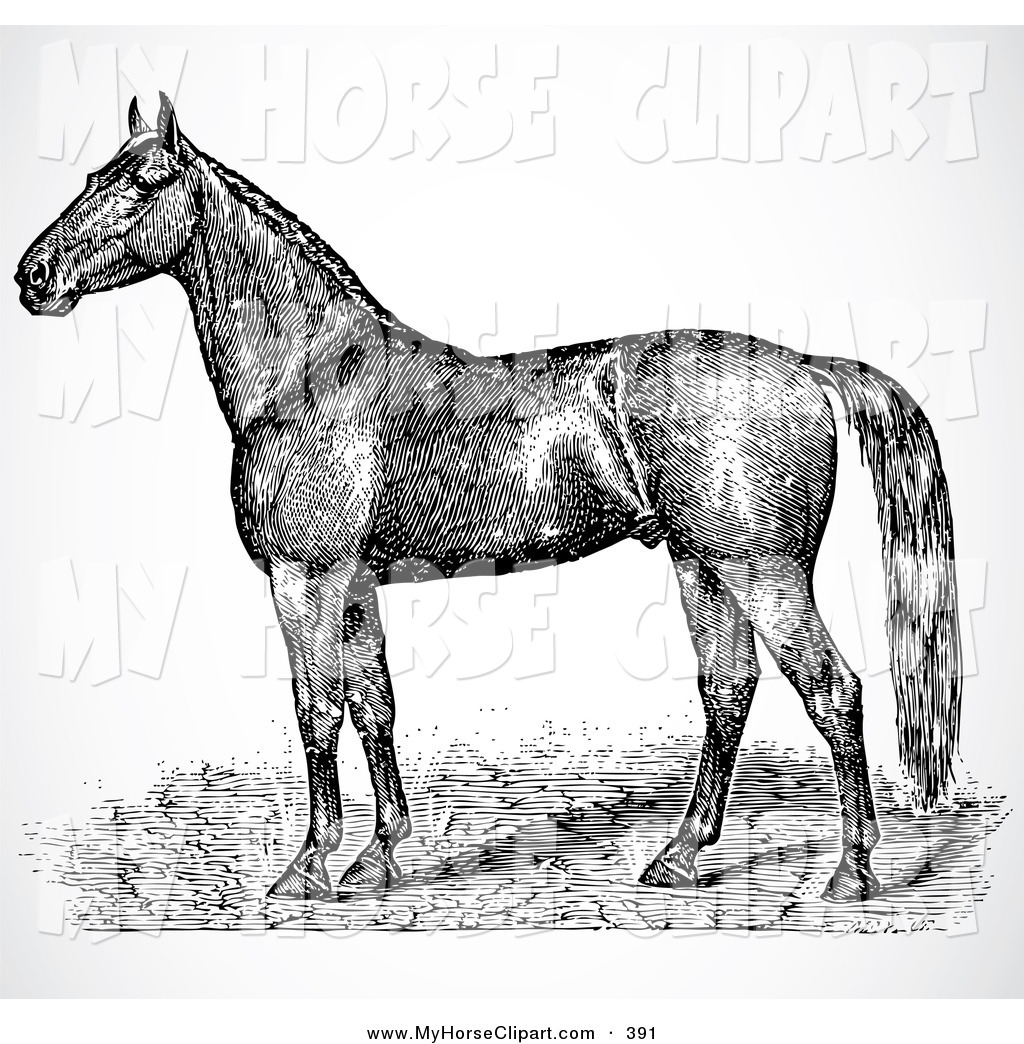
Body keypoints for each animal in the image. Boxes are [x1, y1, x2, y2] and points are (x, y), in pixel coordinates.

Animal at [16, 93, 961, 905]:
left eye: (143, 183)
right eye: (93, 174)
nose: (34, 275)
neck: (311, 374)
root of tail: (802, 365)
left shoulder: (304, 580)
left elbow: (316, 709)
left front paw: (310, 867)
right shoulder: (353, 586)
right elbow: (374, 708)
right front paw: (377, 856)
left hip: (761, 569)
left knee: (832, 689)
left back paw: (851, 873)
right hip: (703, 564)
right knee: (728, 691)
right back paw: (681, 855)